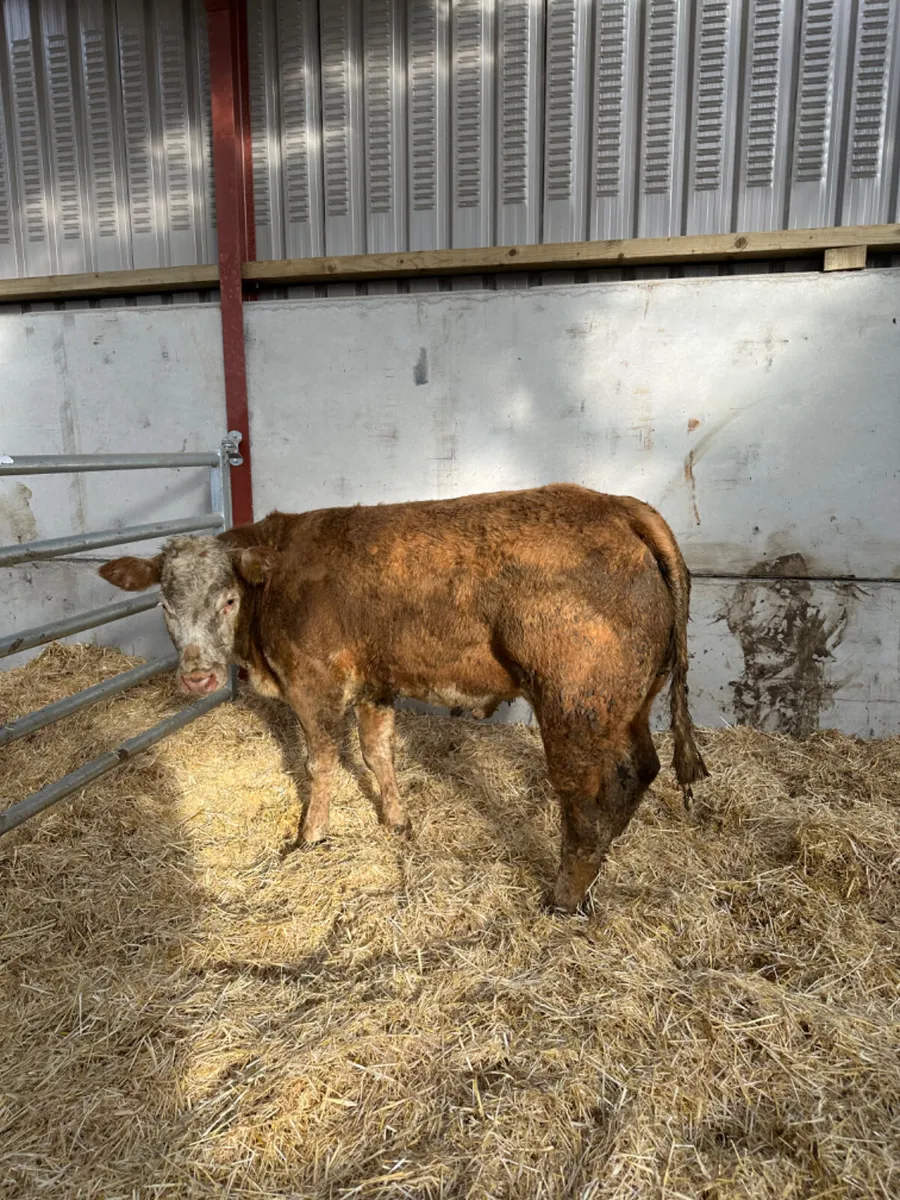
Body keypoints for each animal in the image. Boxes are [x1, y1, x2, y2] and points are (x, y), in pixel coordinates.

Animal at [99, 484, 708, 912]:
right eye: (164, 605)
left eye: (227, 599)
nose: (198, 677)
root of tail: (618, 505)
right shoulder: (377, 682)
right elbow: (377, 753)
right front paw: (396, 821)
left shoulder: (313, 682)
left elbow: (321, 763)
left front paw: (310, 837)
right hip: (628, 704)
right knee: (642, 769)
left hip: (573, 703)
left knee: (585, 794)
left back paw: (564, 897)